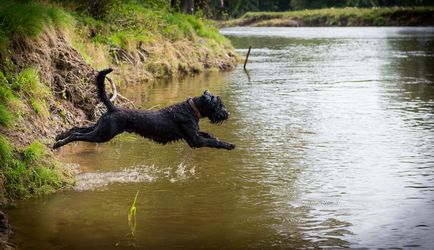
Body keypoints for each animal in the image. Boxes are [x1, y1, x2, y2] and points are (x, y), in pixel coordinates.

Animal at [54, 68, 237, 150]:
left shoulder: (195, 134)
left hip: (100, 127)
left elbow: (209, 135)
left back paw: (59, 136)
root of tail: (113, 108)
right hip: (103, 134)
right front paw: (228, 145)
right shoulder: (195, 140)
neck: (191, 110)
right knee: (78, 135)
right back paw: (59, 143)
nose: (226, 113)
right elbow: (211, 142)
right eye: (219, 104)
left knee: (76, 128)